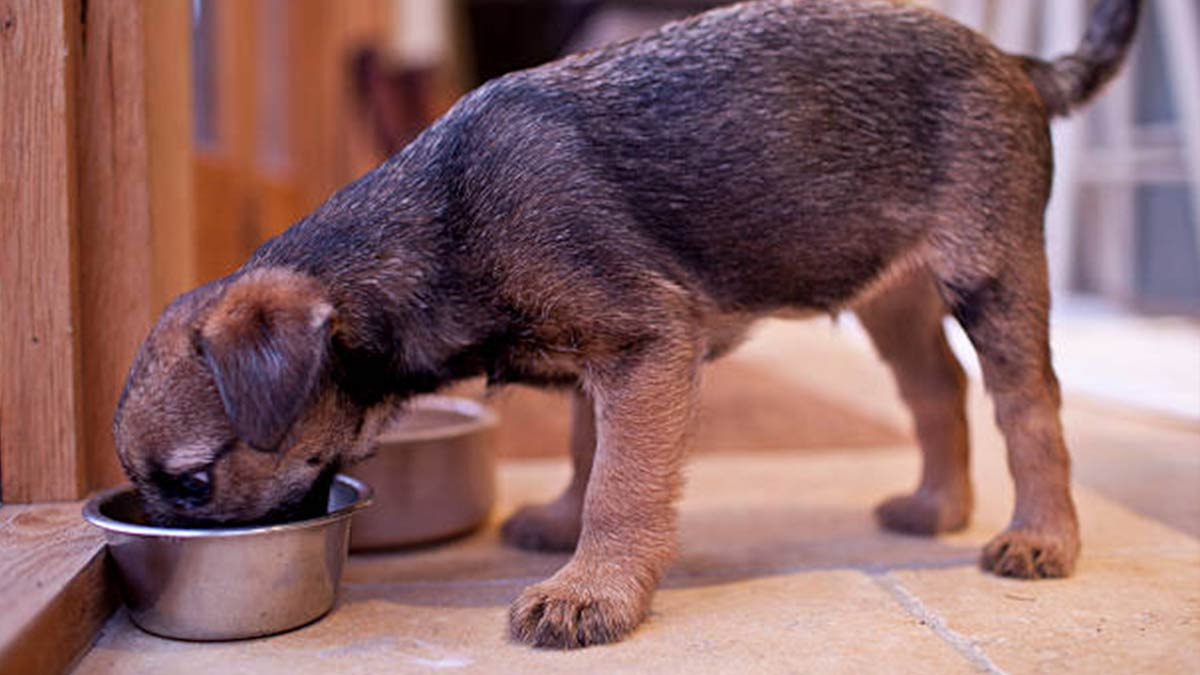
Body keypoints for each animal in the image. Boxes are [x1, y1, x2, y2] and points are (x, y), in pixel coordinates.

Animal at [114, 0, 1142, 648]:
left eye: (195, 483)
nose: (159, 542)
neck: (439, 224)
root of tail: (1019, 66)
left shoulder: (645, 344)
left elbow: (623, 482)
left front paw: (592, 589)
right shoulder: (598, 357)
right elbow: (587, 449)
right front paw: (564, 524)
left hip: (991, 275)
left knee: (1029, 407)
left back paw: (1041, 536)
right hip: (887, 293)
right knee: (937, 388)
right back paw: (936, 505)